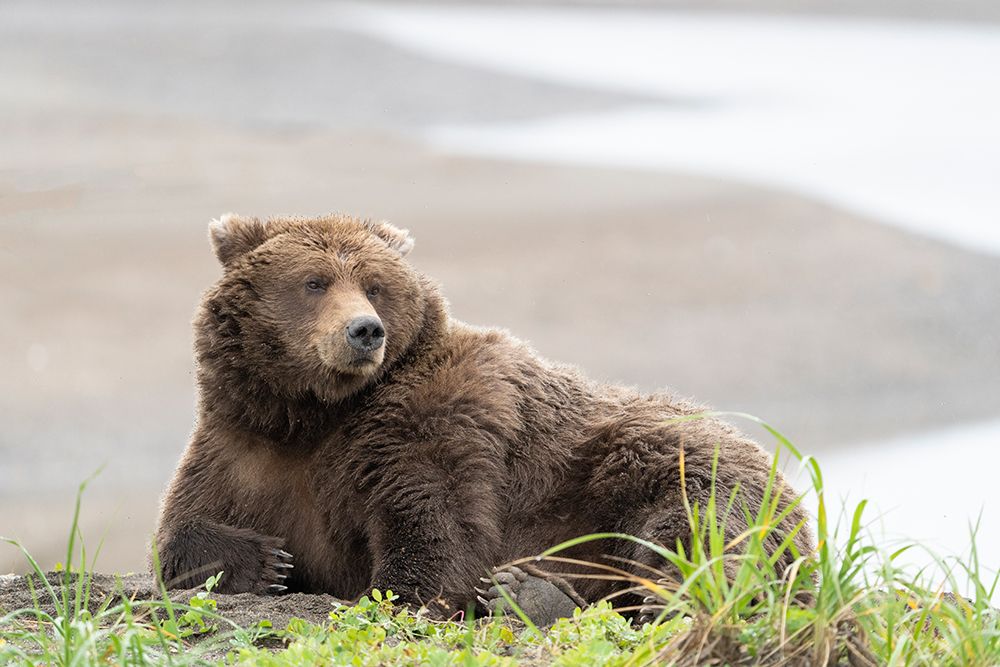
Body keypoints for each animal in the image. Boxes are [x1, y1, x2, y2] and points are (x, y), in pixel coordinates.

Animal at [154, 213, 813, 624]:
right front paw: (264, 559)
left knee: (699, 530)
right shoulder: (244, 444)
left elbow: (435, 536)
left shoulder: (432, 423)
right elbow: (181, 530)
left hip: (670, 462)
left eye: (374, 283)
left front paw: (390, 595)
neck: (319, 413)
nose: (365, 330)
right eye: (313, 281)